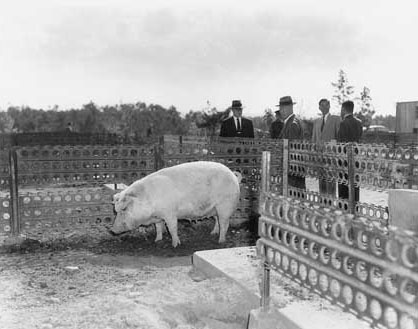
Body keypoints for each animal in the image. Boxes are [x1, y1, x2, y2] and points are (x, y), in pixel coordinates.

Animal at [110, 160, 242, 247]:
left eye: (124, 209)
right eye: (116, 211)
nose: (112, 230)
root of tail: (233, 176)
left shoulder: (170, 213)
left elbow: (172, 228)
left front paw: (175, 245)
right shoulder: (158, 216)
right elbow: (158, 227)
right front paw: (157, 241)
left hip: (225, 206)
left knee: (224, 224)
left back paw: (220, 241)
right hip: (214, 208)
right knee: (217, 221)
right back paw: (212, 233)